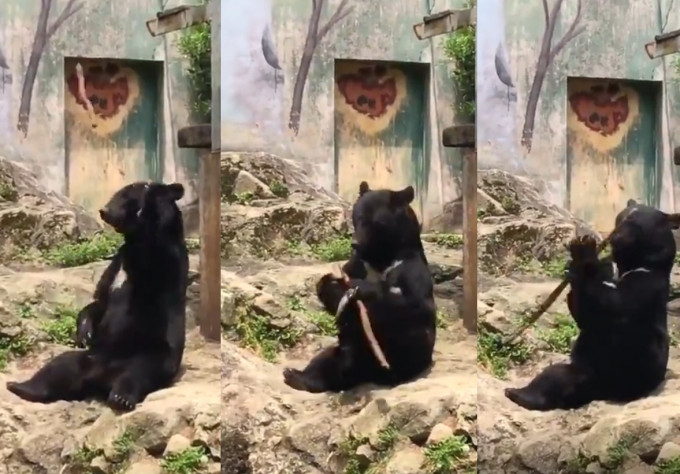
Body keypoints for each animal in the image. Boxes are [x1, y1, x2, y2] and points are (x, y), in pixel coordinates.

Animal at [5, 181, 189, 412]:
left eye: (123, 199)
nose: (104, 211)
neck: (134, 242)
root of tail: (100, 377)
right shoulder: (118, 262)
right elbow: (101, 298)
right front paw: (85, 331)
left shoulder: (162, 262)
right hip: (89, 357)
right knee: (59, 367)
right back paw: (19, 386)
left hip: (153, 352)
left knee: (140, 373)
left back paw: (121, 397)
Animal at [282, 181, 436, 392]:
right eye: (357, 218)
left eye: (374, 223)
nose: (354, 243)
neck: (380, 257)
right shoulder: (357, 264)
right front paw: (332, 284)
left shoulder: (410, 268)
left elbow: (414, 303)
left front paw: (359, 289)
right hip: (341, 351)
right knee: (323, 363)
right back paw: (294, 375)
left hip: (412, 348)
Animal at [502, 200, 676, 412]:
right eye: (619, 219)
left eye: (634, 224)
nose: (614, 238)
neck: (634, 265)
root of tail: (604, 391)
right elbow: (585, 313)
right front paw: (577, 259)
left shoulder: (646, 285)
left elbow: (615, 307)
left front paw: (585, 252)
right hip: (584, 371)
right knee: (553, 377)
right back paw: (516, 392)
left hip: (636, 364)